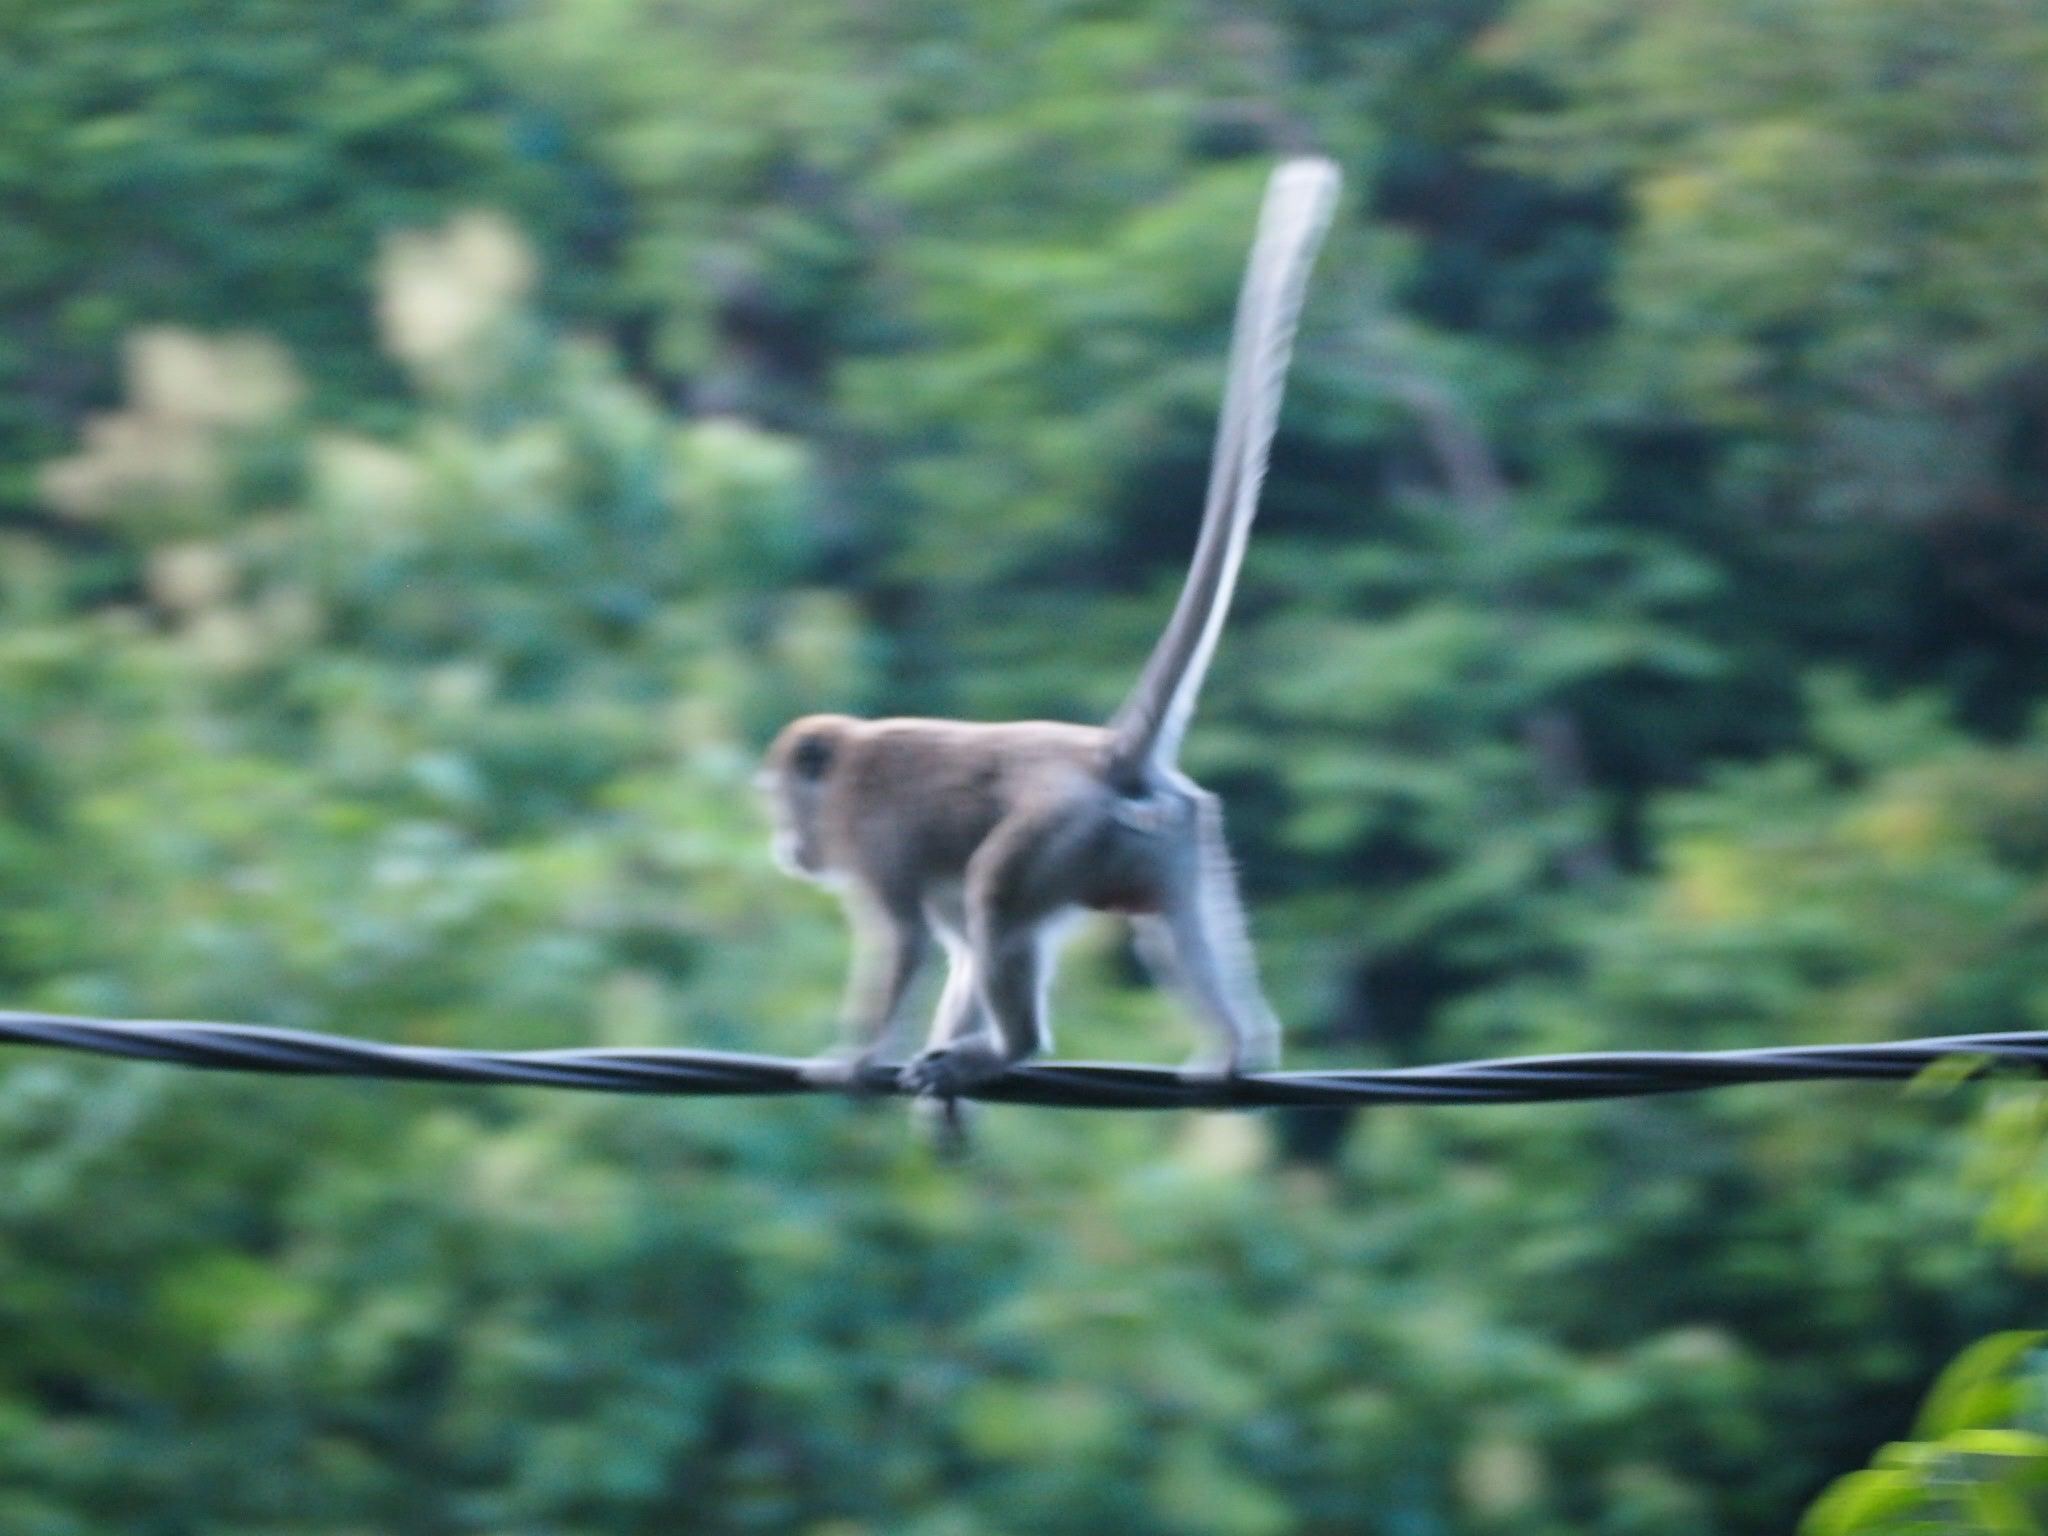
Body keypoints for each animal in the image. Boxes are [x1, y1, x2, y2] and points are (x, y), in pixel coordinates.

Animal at [761, 156, 1335, 1097]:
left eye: (783, 799)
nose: (785, 845)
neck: (844, 766)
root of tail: (1107, 757)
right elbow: (954, 945)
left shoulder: (870, 839)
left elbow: (910, 939)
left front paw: (852, 1060)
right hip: (1166, 839)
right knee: (1167, 929)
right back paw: (1232, 1049)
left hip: (1057, 833)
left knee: (996, 897)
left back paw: (1011, 1047)